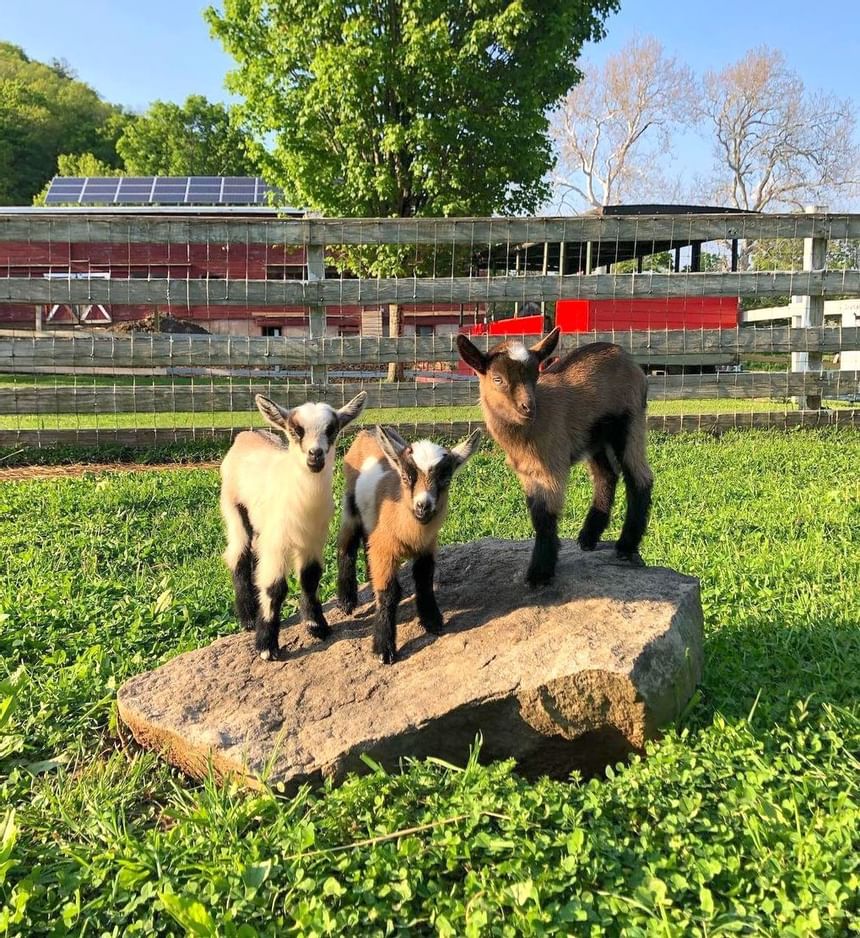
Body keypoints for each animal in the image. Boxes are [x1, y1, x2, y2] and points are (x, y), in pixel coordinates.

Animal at [219, 391, 367, 660]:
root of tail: (245, 435)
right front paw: (267, 646)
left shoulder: (313, 540)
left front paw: (316, 625)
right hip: (233, 508)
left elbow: (310, 578)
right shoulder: (277, 542)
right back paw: (247, 617)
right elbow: (275, 588)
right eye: (295, 430)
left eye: (332, 430)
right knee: (238, 554)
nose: (315, 455)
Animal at [336, 426, 482, 664]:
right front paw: (383, 649)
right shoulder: (385, 550)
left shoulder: (427, 548)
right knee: (346, 546)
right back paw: (346, 601)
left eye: (446, 479)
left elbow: (424, 582)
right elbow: (388, 593)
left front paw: (432, 621)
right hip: (349, 505)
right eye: (405, 477)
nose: (423, 506)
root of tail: (365, 432)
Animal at [457, 327, 652, 586]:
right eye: (498, 379)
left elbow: (545, 516)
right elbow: (535, 512)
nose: (528, 407)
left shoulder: (551, 464)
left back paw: (625, 547)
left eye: (535, 376)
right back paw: (588, 537)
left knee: (639, 478)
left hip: (630, 422)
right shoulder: (528, 472)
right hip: (594, 437)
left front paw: (540, 573)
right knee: (606, 475)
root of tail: (625, 356)